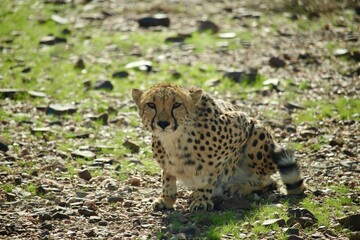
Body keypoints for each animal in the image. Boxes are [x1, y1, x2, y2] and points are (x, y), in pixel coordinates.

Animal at [132, 83, 306, 211]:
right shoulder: (167, 163)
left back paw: (238, 187)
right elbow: (168, 176)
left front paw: (201, 199)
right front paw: (166, 199)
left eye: (177, 105)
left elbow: (211, 171)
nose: (162, 123)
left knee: (268, 181)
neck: (175, 139)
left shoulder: (242, 123)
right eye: (151, 105)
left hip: (258, 132)